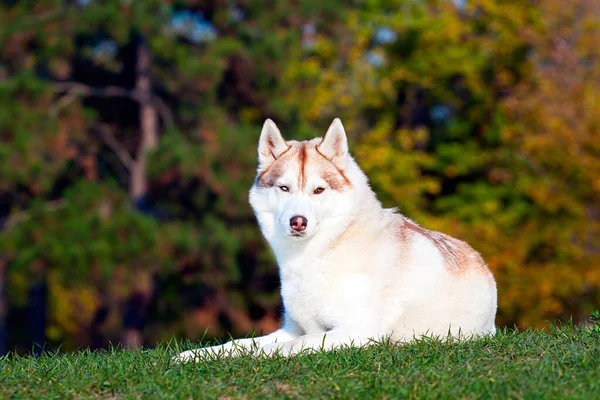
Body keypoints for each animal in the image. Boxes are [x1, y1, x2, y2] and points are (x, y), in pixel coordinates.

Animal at [176, 117, 500, 360]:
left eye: (318, 190)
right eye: (284, 188)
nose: (298, 222)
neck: (318, 256)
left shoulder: (356, 331)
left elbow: (286, 346)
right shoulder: (292, 328)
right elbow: (239, 343)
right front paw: (195, 355)